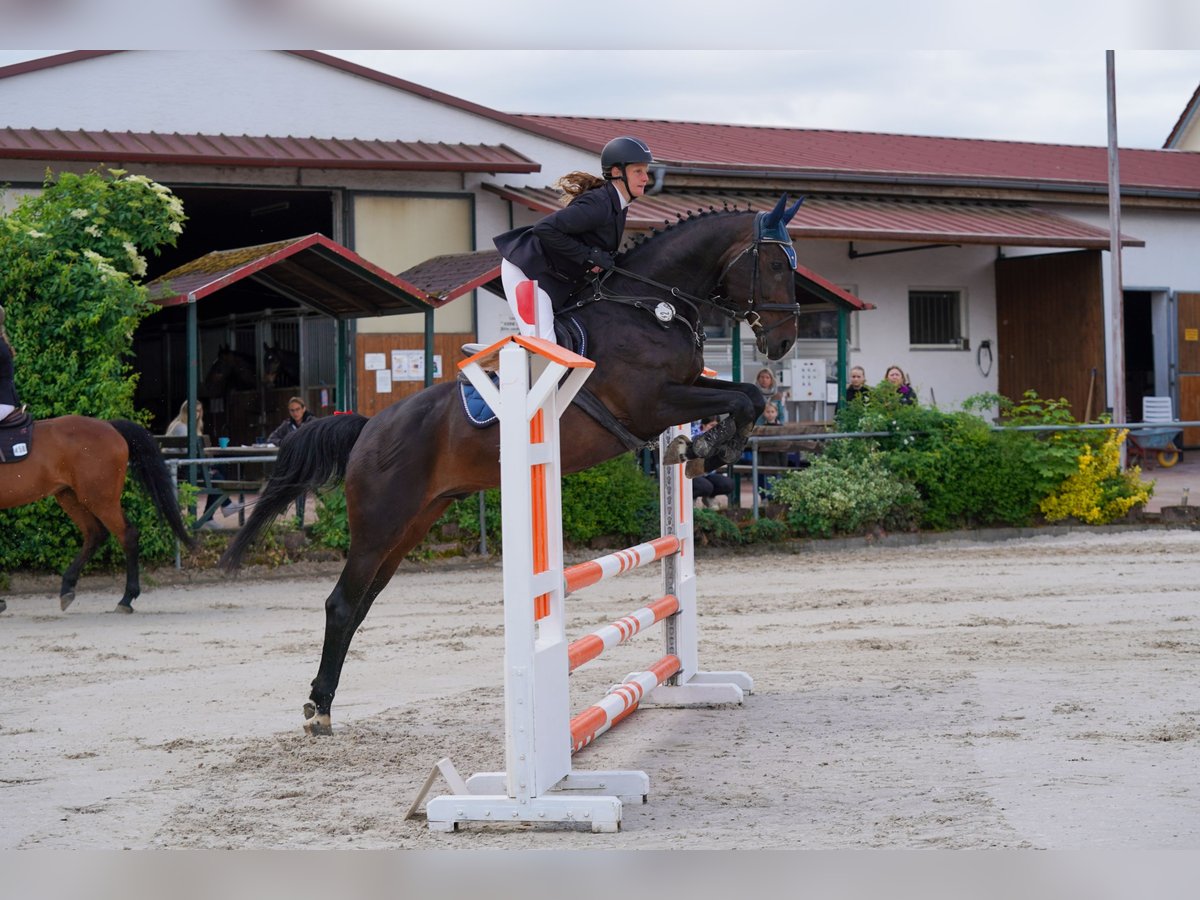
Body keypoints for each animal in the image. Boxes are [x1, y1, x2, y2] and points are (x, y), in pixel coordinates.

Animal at [0, 420, 192, 619]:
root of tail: (109, 425)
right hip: (71, 496)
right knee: (95, 533)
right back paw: (68, 588)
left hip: (99, 499)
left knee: (127, 534)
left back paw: (126, 599)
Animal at [223, 194, 806, 734]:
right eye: (777, 265)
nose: (783, 343)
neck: (648, 306)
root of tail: (367, 426)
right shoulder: (654, 403)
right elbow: (746, 396)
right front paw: (707, 450)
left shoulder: (681, 392)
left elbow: (746, 394)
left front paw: (705, 450)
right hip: (380, 524)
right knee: (342, 604)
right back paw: (319, 710)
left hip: (412, 525)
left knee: (361, 603)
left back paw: (321, 701)